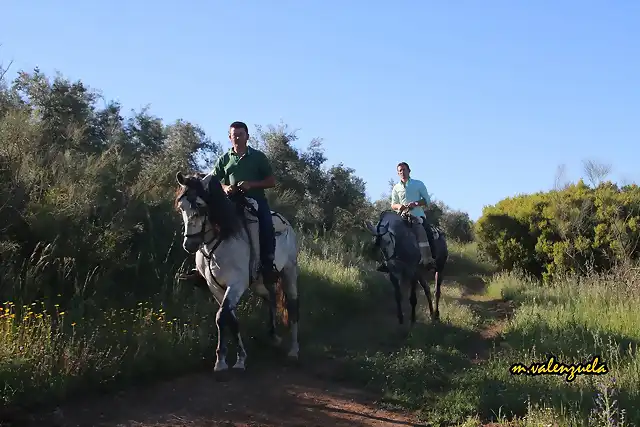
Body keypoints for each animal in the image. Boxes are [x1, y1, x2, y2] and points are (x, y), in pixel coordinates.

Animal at [174, 172, 302, 372]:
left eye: (201, 206)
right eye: (182, 207)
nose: (190, 244)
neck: (221, 239)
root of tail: (288, 224)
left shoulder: (236, 284)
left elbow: (221, 317)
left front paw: (224, 361)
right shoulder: (216, 287)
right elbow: (230, 319)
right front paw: (235, 359)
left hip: (289, 272)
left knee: (292, 306)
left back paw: (293, 351)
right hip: (259, 283)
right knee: (270, 298)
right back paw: (273, 336)